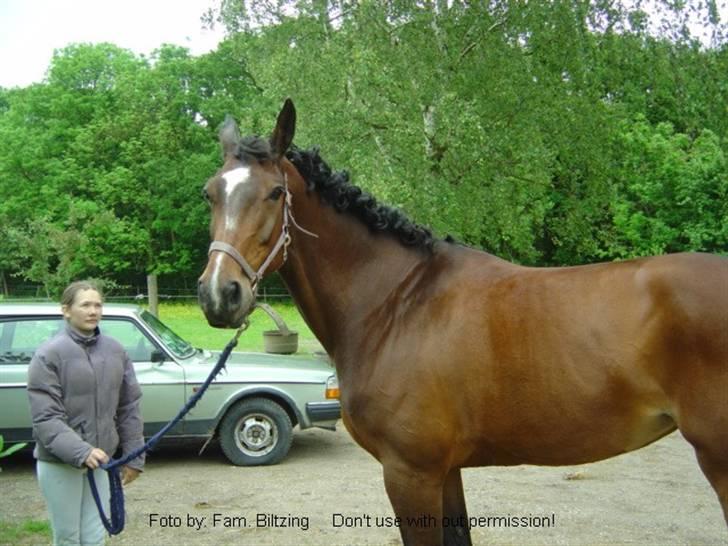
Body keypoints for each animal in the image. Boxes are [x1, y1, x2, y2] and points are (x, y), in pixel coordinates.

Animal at [199, 100, 728, 540]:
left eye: (274, 193)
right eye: (210, 194)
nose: (219, 294)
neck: (395, 303)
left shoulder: (410, 474)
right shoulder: (445, 472)